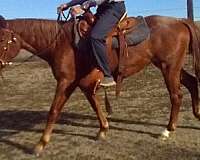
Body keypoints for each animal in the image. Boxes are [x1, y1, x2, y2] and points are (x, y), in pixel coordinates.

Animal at [0, 13, 200, 156]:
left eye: (2, 40)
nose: (0, 64)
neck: (60, 43)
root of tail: (180, 21)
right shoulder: (84, 84)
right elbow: (95, 105)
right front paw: (103, 130)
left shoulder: (66, 82)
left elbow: (54, 110)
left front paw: (40, 144)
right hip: (170, 67)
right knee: (192, 83)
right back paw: (196, 115)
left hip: (169, 67)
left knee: (176, 95)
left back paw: (167, 130)